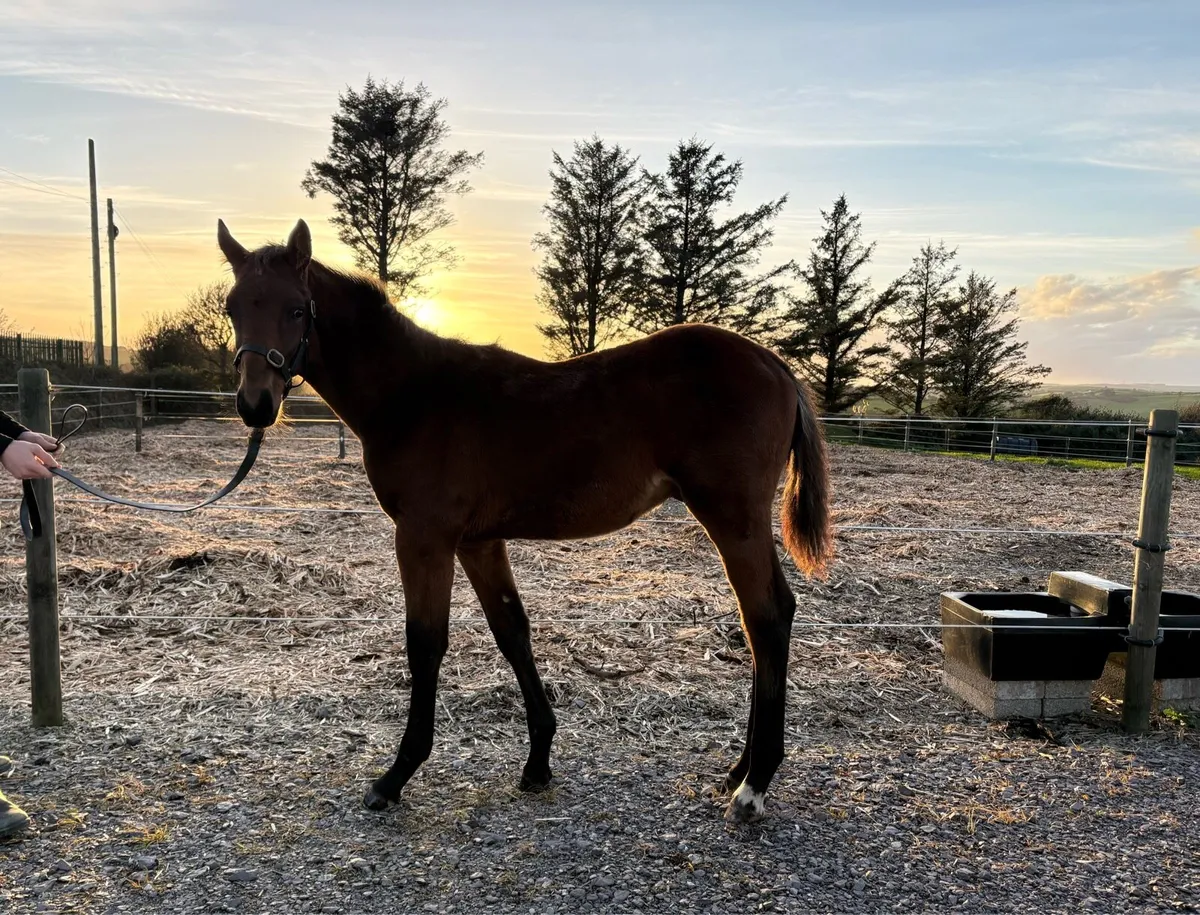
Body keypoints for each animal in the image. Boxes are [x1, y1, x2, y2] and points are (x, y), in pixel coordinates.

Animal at [216, 217, 833, 823]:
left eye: (297, 310)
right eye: (232, 306)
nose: (255, 405)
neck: (414, 396)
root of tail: (775, 364)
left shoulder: (423, 537)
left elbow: (425, 643)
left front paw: (395, 776)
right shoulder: (479, 543)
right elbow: (512, 631)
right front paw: (538, 761)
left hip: (733, 518)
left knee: (766, 617)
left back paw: (754, 784)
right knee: (765, 620)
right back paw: (738, 769)